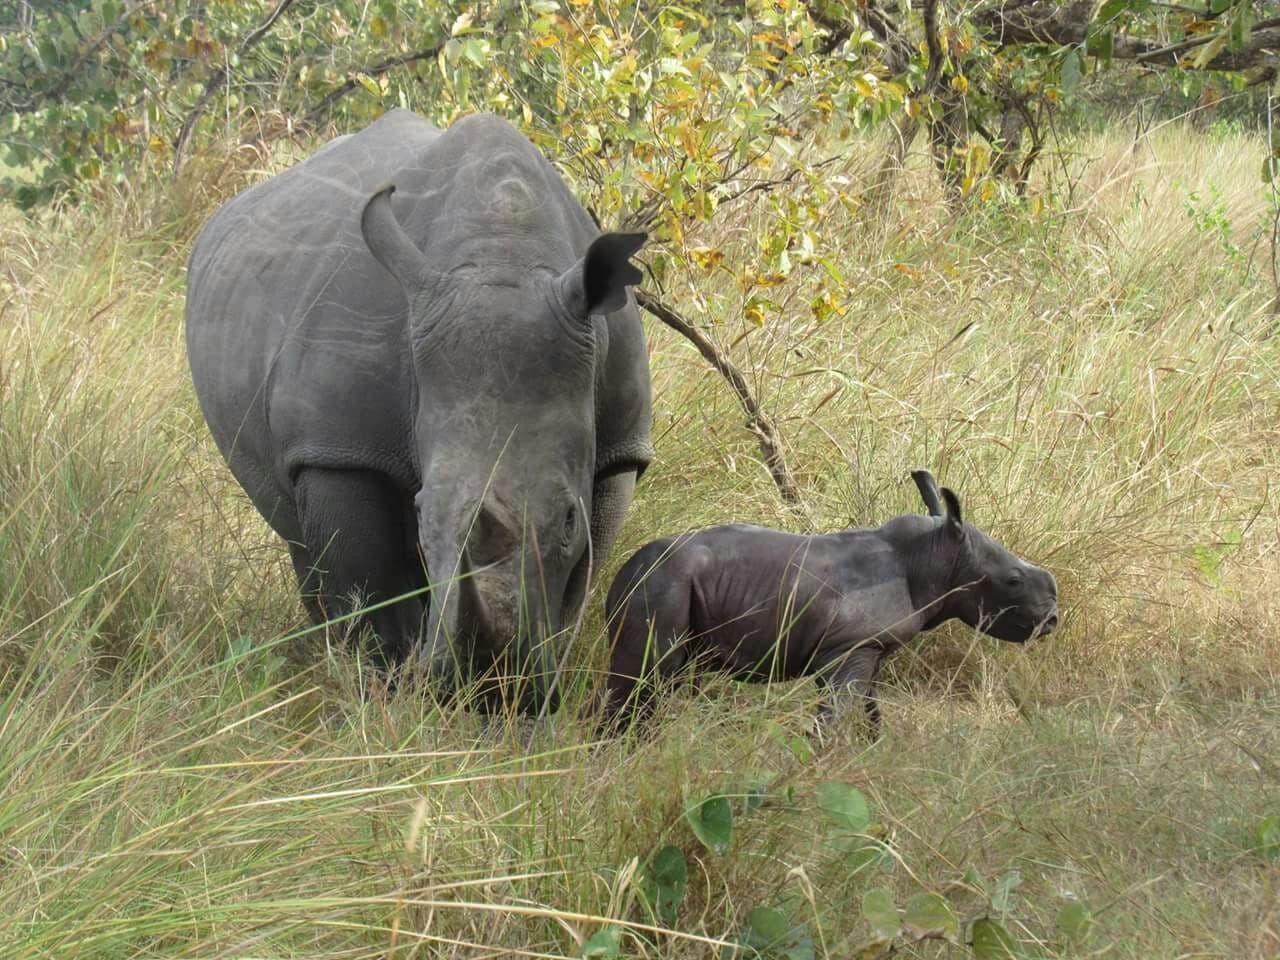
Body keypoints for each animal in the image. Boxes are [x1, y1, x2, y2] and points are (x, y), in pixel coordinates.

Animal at [185, 110, 653, 712]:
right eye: (423, 514)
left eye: (569, 518)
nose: (487, 684)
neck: (504, 254)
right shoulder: (339, 446)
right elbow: (370, 581)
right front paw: (387, 693)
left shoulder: (621, 445)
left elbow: (585, 571)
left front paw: (538, 687)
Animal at [600, 470, 1058, 735]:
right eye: (1013, 581)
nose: (1052, 620)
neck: (934, 556)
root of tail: (624, 569)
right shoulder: (849, 649)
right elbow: (834, 719)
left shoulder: (868, 651)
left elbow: (870, 715)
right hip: (664, 582)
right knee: (645, 679)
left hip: (661, 580)